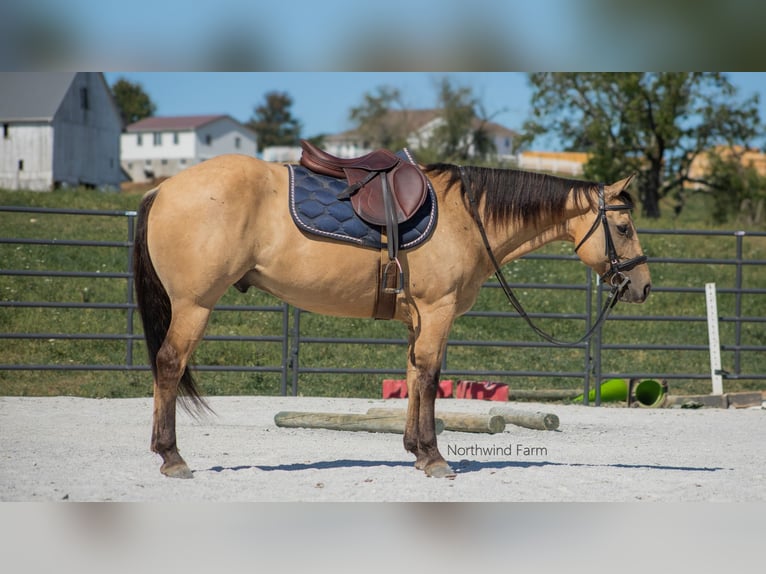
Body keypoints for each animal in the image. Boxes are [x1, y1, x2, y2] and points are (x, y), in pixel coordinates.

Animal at [135, 145, 652, 482]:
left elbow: (414, 374)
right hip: (194, 306)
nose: (642, 286)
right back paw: (172, 457)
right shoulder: (438, 311)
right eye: (624, 227)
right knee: (169, 364)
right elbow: (430, 376)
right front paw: (435, 457)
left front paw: (416, 451)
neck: (468, 216)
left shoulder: (418, 318)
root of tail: (163, 189)